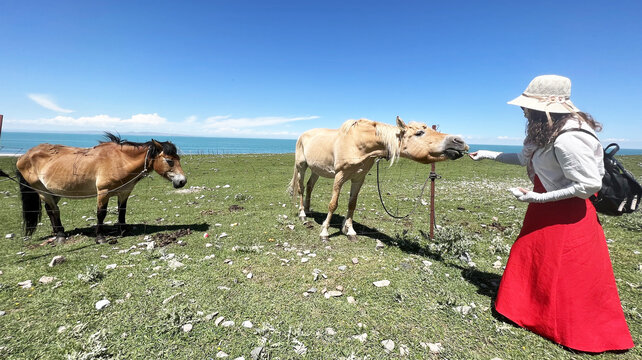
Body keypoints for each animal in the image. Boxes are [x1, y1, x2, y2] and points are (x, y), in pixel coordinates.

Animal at [13, 134, 186, 243]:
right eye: (169, 161)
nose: (182, 181)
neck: (119, 160)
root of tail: (24, 156)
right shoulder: (103, 192)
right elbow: (101, 214)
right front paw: (100, 237)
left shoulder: (124, 192)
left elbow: (122, 212)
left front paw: (123, 231)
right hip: (42, 191)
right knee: (54, 210)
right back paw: (60, 235)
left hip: (54, 191)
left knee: (50, 210)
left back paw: (57, 232)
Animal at [288, 116, 464, 239]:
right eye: (419, 133)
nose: (459, 141)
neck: (358, 144)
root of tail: (303, 135)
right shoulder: (340, 176)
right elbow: (333, 204)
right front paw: (324, 231)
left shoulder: (358, 178)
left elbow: (352, 204)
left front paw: (349, 230)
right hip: (301, 166)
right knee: (301, 187)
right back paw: (302, 214)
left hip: (317, 170)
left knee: (310, 186)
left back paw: (308, 210)